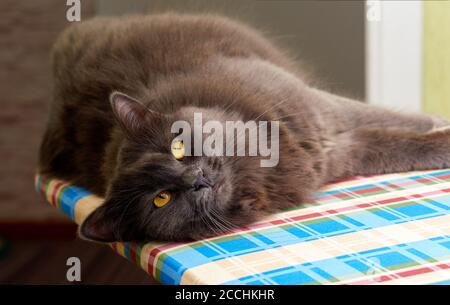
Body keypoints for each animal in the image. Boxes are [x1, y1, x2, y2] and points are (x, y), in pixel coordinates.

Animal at [39, 13, 450, 242]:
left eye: (176, 147)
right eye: (161, 199)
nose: (195, 179)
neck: (260, 168)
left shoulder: (324, 113)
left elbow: (397, 123)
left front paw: (438, 124)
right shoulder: (338, 149)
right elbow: (398, 146)